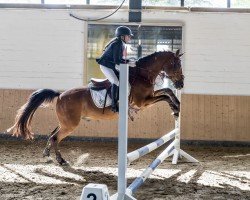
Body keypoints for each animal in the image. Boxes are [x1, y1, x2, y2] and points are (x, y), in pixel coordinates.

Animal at [7, 49, 184, 164]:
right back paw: (61, 160)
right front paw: (176, 109)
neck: (142, 75)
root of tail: (60, 95)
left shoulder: (149, 98)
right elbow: (165, 95)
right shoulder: (143, 102)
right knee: (56, 137)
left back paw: (47, 154)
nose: (181, 83)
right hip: (70, 124)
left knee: (52, 135)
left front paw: (177, 107)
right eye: (176, 64)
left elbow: (167, 91)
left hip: (65, 122)